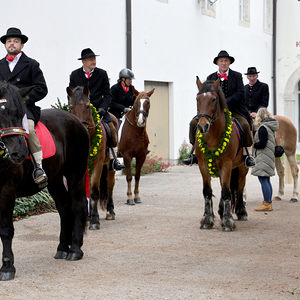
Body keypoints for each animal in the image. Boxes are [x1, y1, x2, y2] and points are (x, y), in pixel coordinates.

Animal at [0, 82, 89, 282]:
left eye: (21, 112)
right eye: (1, 111)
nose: (19, 152)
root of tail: (76, 120)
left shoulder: (6, 192)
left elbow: (6, 229)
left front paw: (7, 267)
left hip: (76, 174)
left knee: (78, 205)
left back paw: (75, 250)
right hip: (55, 180)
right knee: (64, 208)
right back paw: (62, 249)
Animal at [67, 85, 118, 231]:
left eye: (87, 106)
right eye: (71, 107)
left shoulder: (98, 164)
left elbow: (94, 191)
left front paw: (94, 220)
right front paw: (87, 217)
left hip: (109, 165)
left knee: (110, 185)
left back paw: (110, 212)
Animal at [195, 78, 248, 232]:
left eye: (213, 99)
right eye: (197, 99)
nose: (202, 126)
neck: (212, 136)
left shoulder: (227, 164)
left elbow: (226, 192)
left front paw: (228, 221)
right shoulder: (202, 164)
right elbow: (207, 191)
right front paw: (207, 219)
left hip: (242, 167)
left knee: (240, 185)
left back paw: (241, 211)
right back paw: (220, 210)